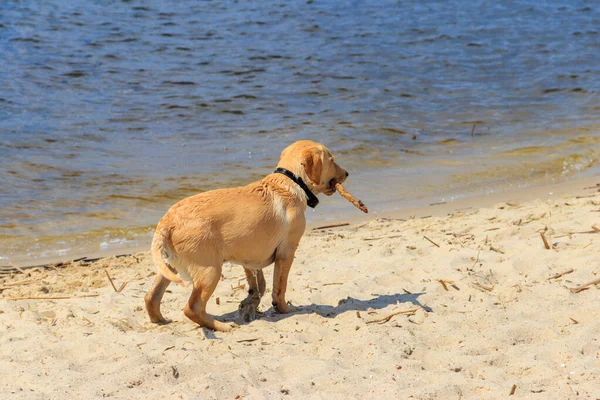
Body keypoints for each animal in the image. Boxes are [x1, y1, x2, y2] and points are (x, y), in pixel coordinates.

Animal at [145, 141, 350, 332]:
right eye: (332, 160)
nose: (347, 173)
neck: (291, 181)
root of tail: (167, 221)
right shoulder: (286, 252)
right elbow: (279, 288)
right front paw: (284, 309)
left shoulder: (250, 256)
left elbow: (260, 283)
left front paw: (252, 301)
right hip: (210, 271)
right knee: (192, 308)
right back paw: (222, 326)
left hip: (169, 267)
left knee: (151, 297)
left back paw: (160, 320)